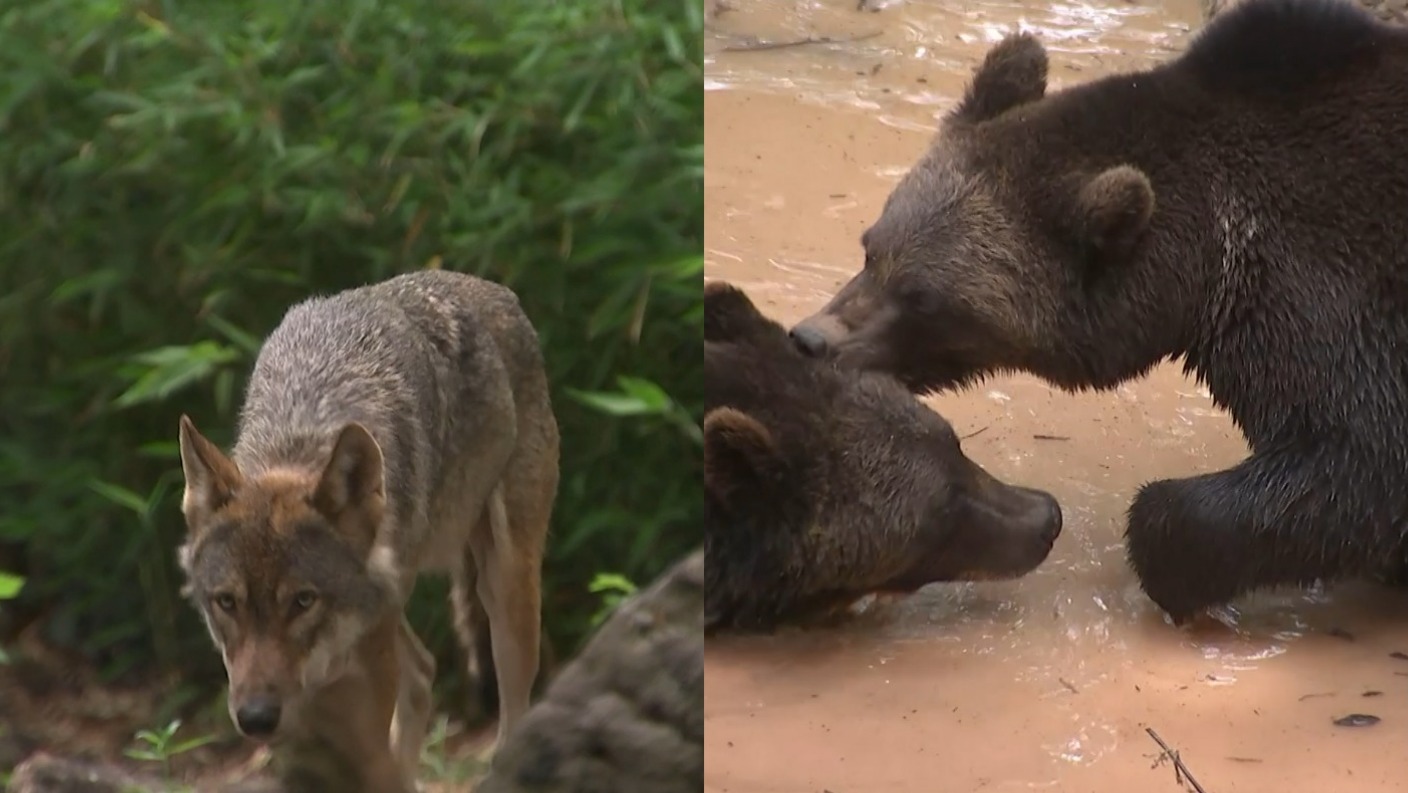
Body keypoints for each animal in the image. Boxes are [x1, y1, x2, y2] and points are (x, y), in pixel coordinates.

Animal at [176, 269, 560, 792]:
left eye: (303, 600)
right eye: (227, 602)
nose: (256, 719)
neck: (299, 442)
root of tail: (493, 289)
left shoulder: (364, 677)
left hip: (504, 592)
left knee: (510, 705)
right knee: (423, 671)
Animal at [786, 0, 1408, 624]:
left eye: (924, 297)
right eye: (871, 249)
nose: (811, 339)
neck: (1207, 266)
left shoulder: (1329, 301)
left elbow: (1359, 461)